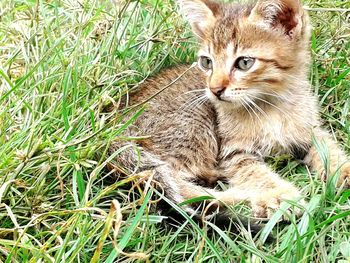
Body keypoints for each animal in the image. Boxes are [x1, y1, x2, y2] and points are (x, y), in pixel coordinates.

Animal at [110, 0, 350, 220]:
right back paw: (241, 196)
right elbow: (254, 171)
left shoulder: (311, 130)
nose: (214, 89)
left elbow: (328, 148)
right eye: (207, 62)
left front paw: (343, 170)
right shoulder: (234, 152)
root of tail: (115, 122)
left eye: (244, 63)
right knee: (171, 182)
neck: (271, 106)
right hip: (193, 125)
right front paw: (278, 195)